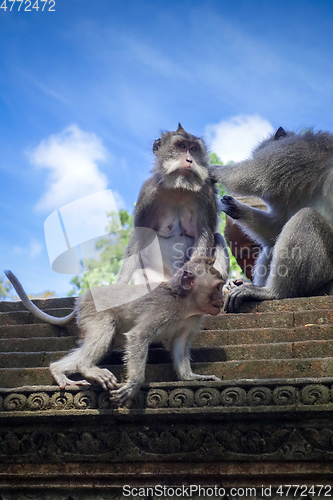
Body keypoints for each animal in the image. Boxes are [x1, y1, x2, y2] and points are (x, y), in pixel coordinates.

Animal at [4, 260, 223, 404]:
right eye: (218, 287)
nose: (221, 300)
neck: (185, 303)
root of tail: (84, 296)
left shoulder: (192, 320)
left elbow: (180, 345)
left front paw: (191, 377)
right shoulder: (164, 309)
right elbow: (138, 336)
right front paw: (134, 384)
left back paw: (57, 370)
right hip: (94, 310)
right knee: (105, 327)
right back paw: (86, 367)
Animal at [116, 124, 228, 288]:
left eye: (193, 149)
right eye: (181, 146)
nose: (189, 160)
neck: (179, 188)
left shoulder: (206, 193)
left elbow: (204, 236)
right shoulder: (147, 193)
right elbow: (138, 239)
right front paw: (120, 283)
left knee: (217, 238)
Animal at [209, 126, 332, 312]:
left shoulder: (293, 152)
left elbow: (258, 173)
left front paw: (209, 169)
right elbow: (277, 227)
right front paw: (234, 207)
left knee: (306, 218)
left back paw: (273, 292)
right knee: (271, 244)